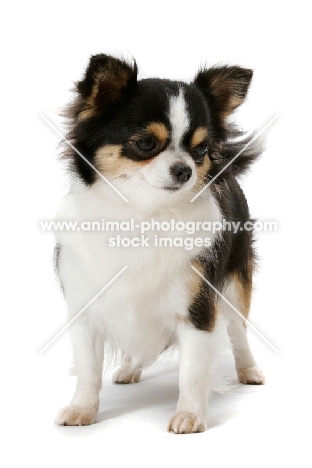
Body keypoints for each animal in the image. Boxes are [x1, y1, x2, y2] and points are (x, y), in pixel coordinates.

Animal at [54, 54, 264, 436]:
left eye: (201, 149)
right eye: (146, 144)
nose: (185, 169)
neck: (145, 214)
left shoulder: (198, 307)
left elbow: (192, 371)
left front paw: (190, 415)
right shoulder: (86, 307)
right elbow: (88, 369)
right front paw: (82, 409)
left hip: (235, 284)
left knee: (238, 331)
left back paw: (249, 370)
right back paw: (129, 368)